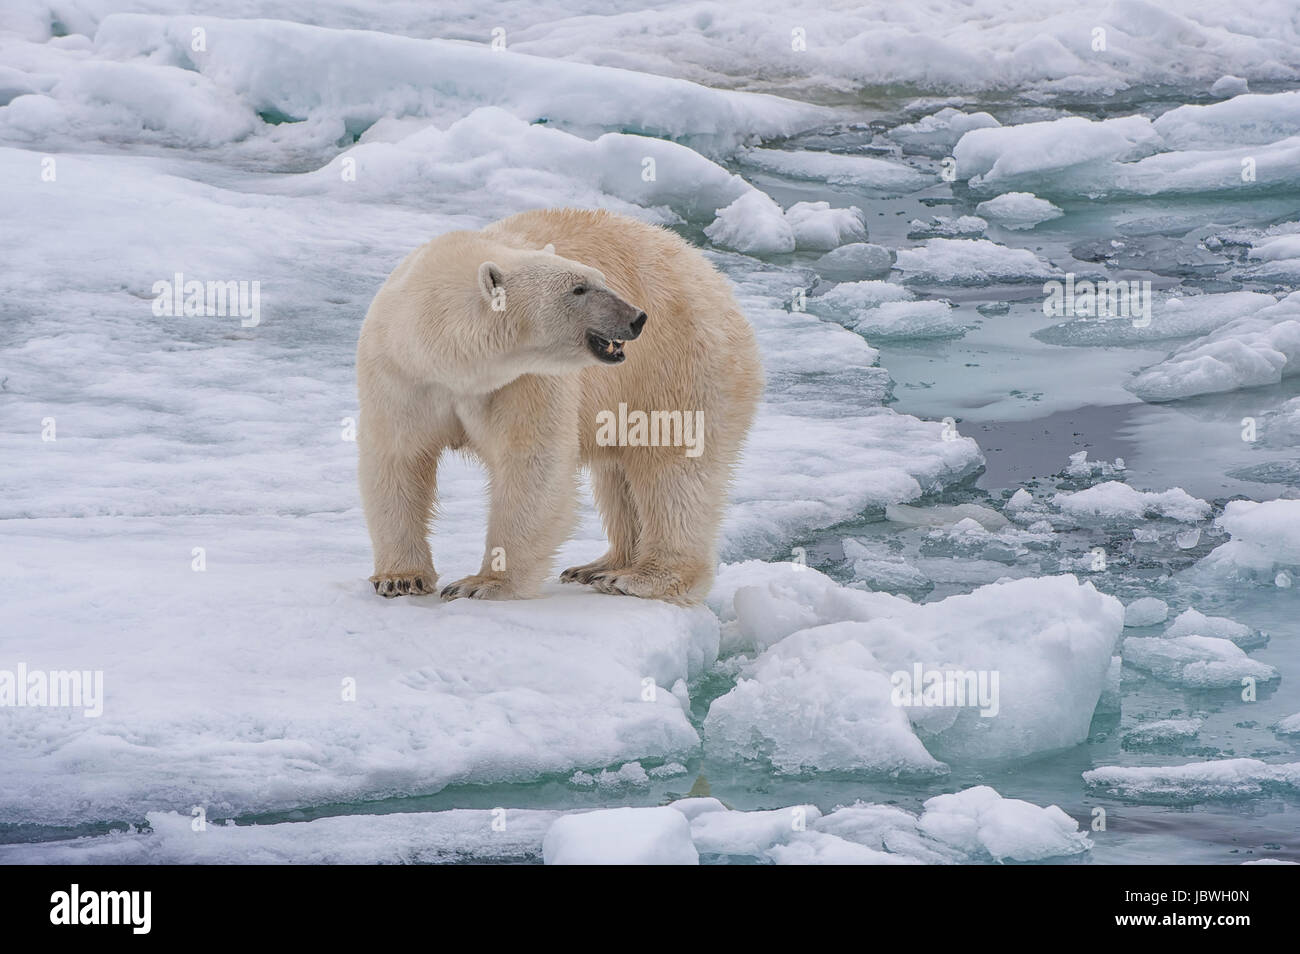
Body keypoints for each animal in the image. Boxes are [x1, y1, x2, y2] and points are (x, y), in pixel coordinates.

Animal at [356, 209, 759, 605]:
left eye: (601, 279)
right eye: (578, 288)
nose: (637, 317)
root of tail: (710, 272)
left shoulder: (526, 379)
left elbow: (531, 465)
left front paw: (482, 583)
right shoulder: (401, 374)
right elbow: (398, 459)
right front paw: (399, 578)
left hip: (680, 364)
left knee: (672, 470)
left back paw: (640, 577)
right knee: (618, 474)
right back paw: (599, 566)